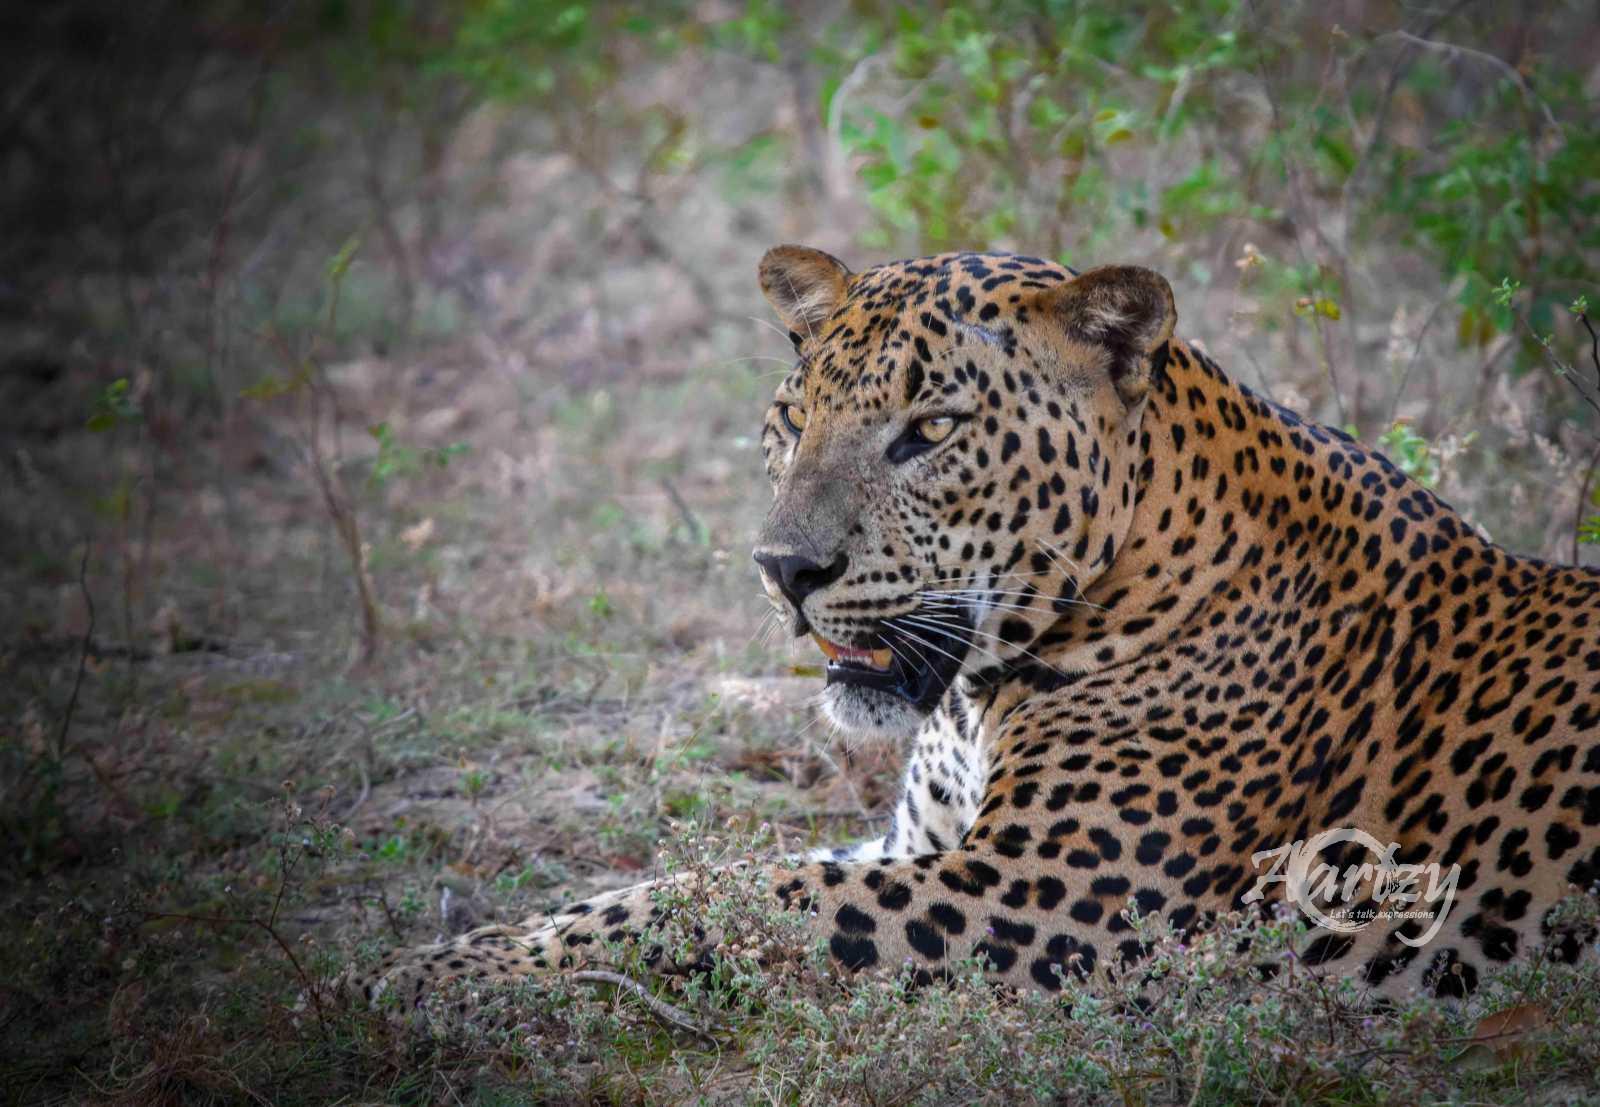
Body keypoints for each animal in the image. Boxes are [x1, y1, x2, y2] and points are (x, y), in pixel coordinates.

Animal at [348, 245, 1600, 1015]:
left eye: (931, 430)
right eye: (792, 418)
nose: (784, 570)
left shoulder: (1049, 898)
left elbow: (728, 897)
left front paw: (429, 984)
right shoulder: (920, 842)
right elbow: (681, 876)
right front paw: (447, 953)